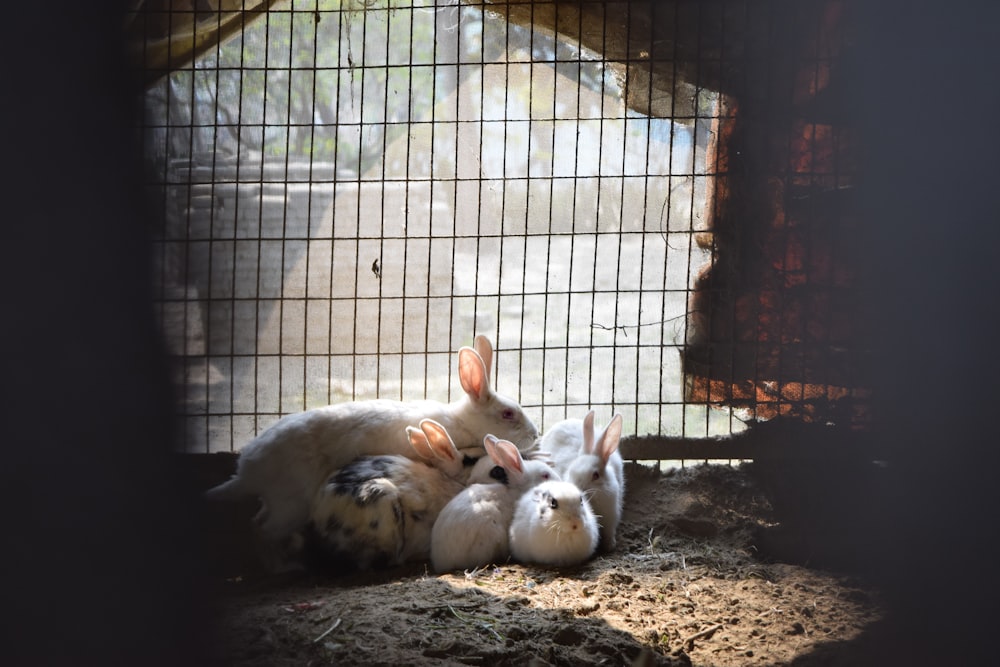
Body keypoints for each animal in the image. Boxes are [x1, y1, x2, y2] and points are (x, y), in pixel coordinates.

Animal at [206, 336, 544, 544]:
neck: (459, 422)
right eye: (508, 414)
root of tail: (247, 474)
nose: (535, 434)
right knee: (262, 529)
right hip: (291, 504)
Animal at [540, 410, 624, 552]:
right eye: (570, 472)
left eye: (595, 475)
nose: (576, 489)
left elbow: (609, 531)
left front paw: (610, 545)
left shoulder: (611, 514)